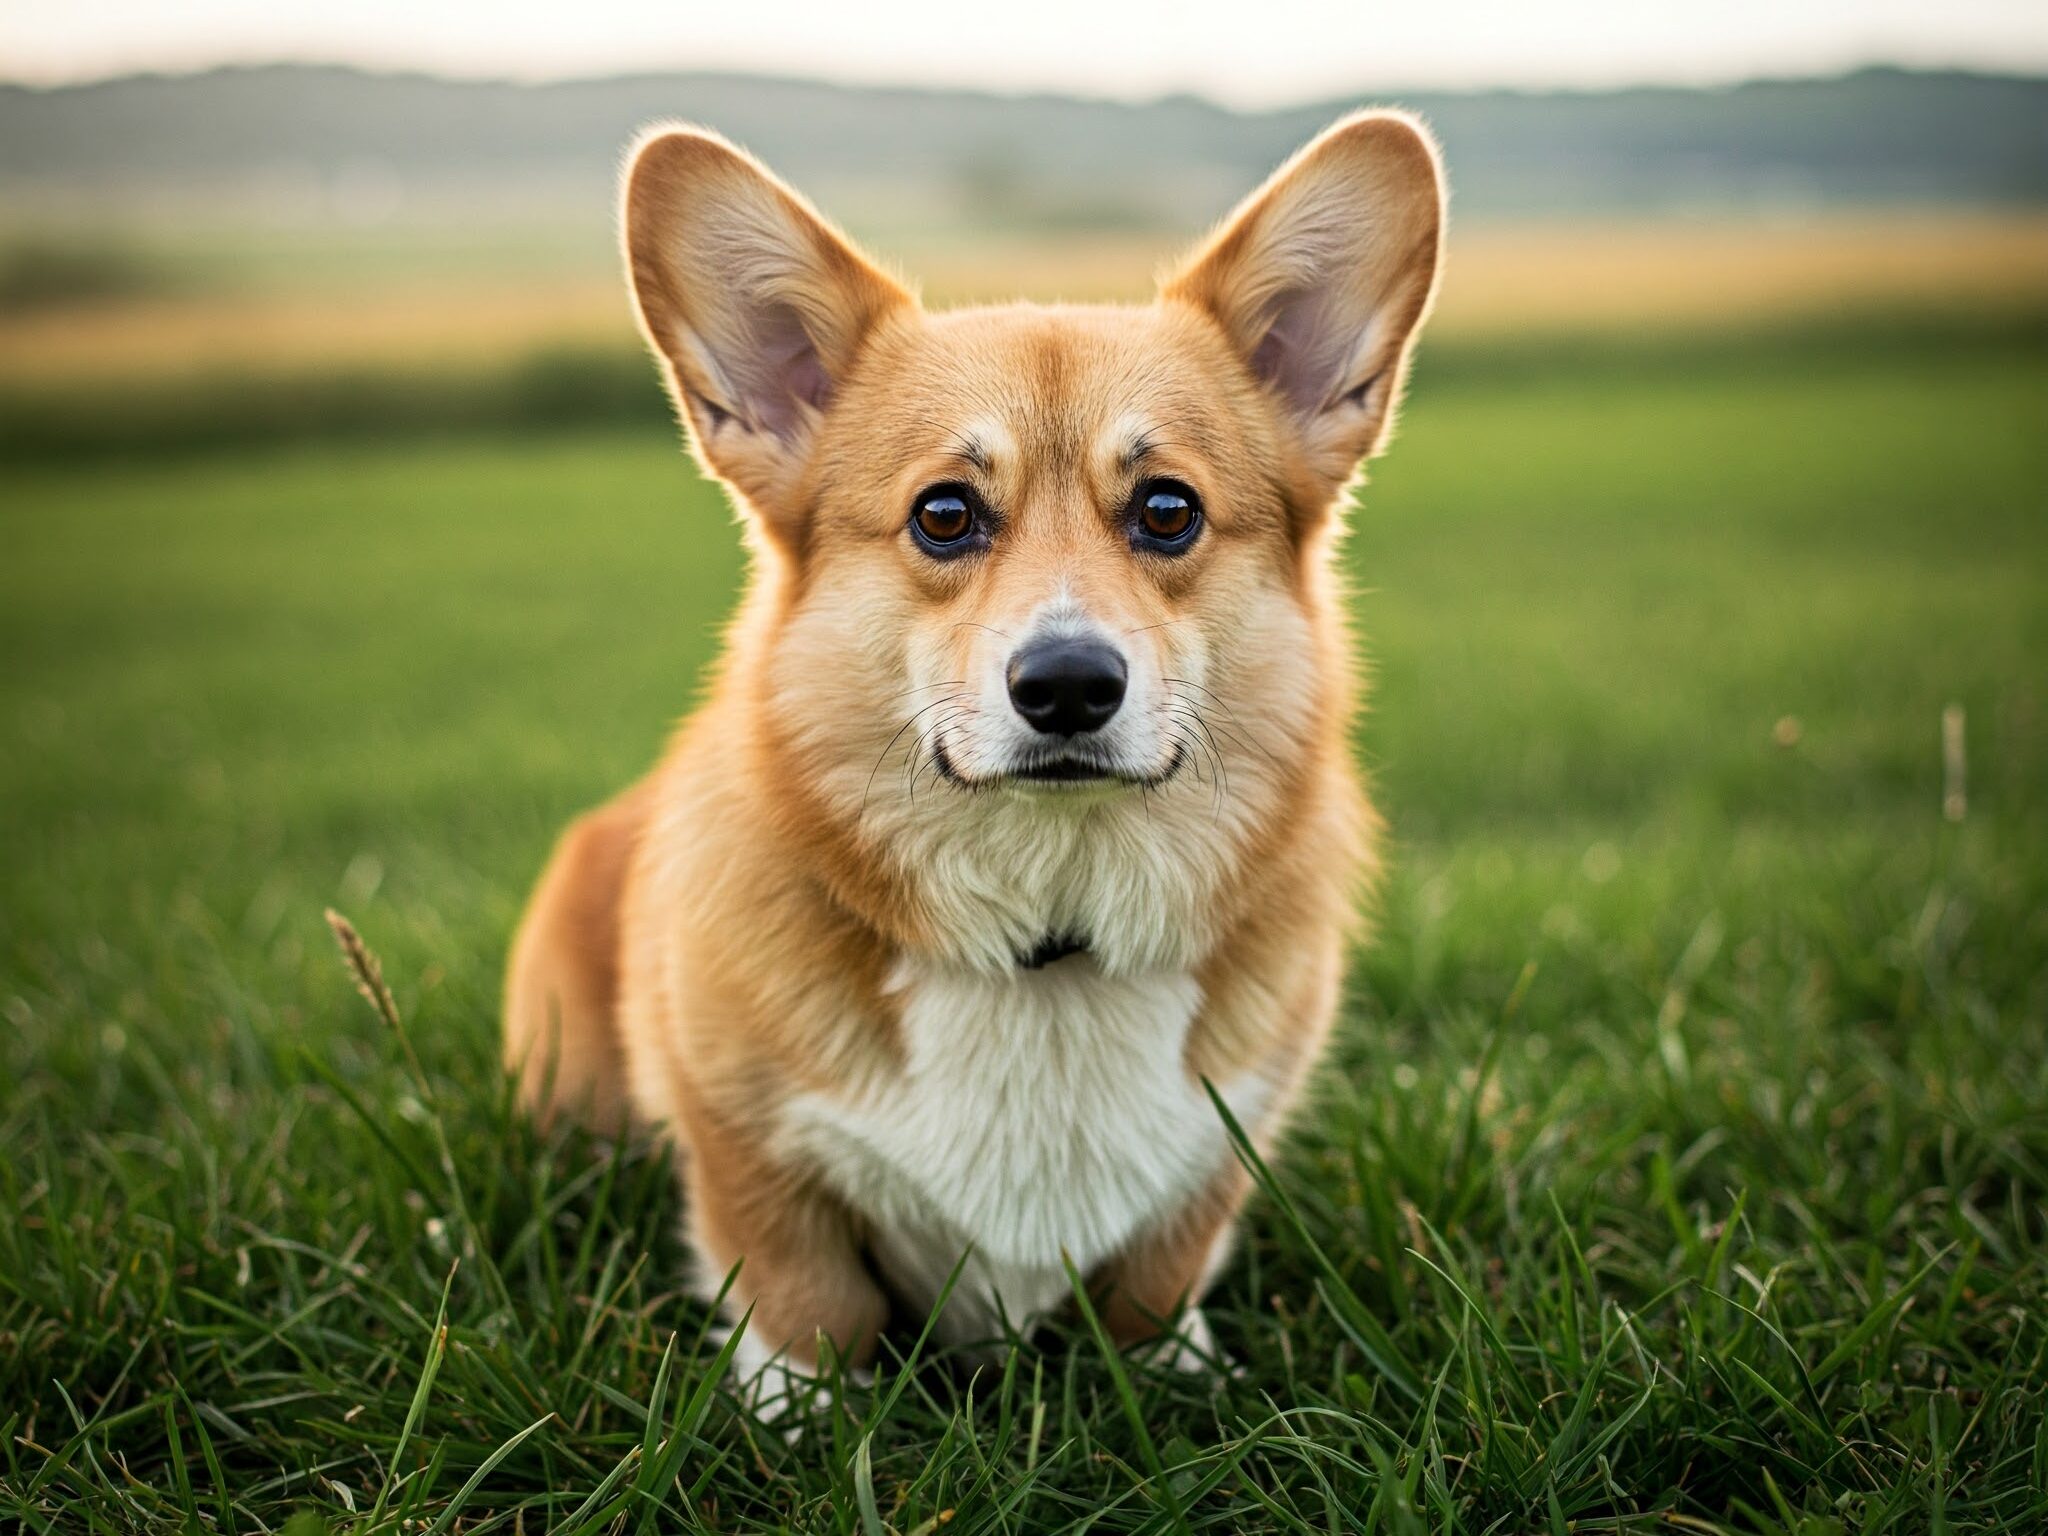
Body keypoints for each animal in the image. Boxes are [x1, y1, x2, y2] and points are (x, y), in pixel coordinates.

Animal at [505, 114, 1449, 1400]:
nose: (1067, 687)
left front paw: (1172, 1373)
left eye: (1167, 510)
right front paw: (798, 1412)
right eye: (943, 515)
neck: (1045, 935)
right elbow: (801, 1292)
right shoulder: (742, 1141)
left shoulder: (1222, 1144)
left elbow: (1161, 1273)